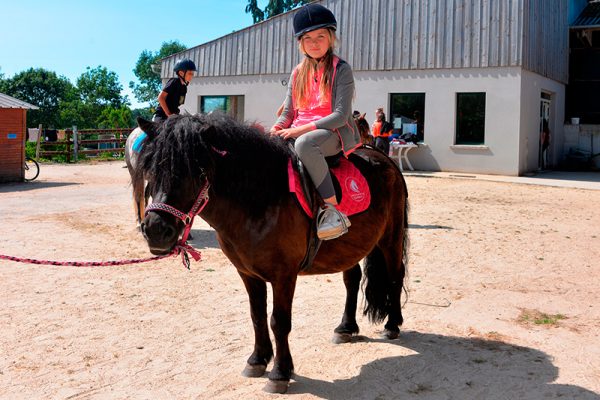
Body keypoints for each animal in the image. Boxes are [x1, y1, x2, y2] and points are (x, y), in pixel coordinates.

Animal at [134, 113, 410, 394]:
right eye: (151, 167)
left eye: (197, 171)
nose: (156, 230)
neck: (260, 198)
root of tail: (383, 157)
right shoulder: (247, 273)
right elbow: (257, 316)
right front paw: (257, 360)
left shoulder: (284, 276)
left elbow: (279, 321)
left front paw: (280, 372)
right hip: (347, 248)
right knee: (352, 280)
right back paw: (346, 328)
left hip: (390, 238)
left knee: (395, 276)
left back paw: (392, 325)